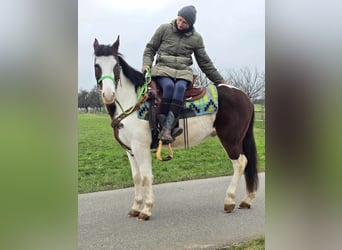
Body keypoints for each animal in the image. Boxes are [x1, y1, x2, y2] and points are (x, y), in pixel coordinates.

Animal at [92, 35, 258, 221]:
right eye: (97, 66)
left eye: (116, 66)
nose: (108, 94)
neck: (133, 101)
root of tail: (244, 96)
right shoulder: (130, 150)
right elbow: (136, 178)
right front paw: (135, 208)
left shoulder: (141, 147)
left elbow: (146, 177)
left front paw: (146, 209)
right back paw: (247, 200)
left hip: (231, 140)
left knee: (240, 163)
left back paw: (229, 201)